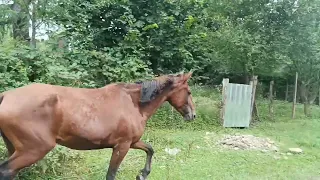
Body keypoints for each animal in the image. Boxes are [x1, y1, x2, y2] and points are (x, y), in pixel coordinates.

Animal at [0, 72, 196, 179]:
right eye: (188, 91)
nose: (192, 115)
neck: (134, 103)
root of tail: (6, 96)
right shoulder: (122, 146)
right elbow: (111, 174)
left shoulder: (131, 142)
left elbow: (150, 149)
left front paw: (142, 174)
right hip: (34, 149)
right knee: (6, 171)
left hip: (16, 149)